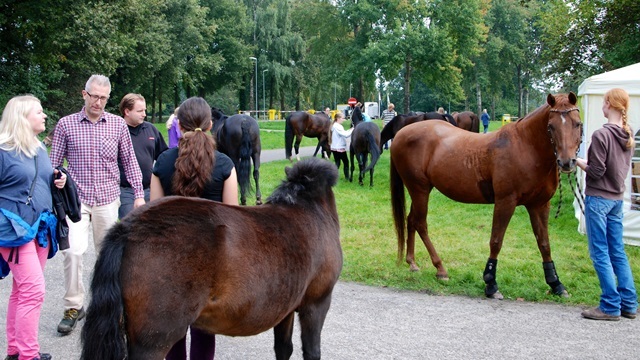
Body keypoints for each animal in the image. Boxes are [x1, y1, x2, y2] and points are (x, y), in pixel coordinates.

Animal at [81, 159, 344, 360]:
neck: (310, 209)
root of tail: (129, 228)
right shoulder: (316, 303)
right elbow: (312, 352)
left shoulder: (287, 307)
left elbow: (283, 349)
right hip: (153, 341)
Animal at [388, 92, 584, 298]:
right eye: (550, 126)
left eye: (578, 123)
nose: (566, 162)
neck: (525, 147)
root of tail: (401, 134)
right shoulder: (505, 202)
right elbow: (496, 241)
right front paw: (491, 283)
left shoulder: (539, 205)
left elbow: (544, 243)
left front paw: (555, 283)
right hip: (419, 189)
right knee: (420, 223)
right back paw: (440, 268)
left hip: (420, 190)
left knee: (411, 220)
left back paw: (412, 262)